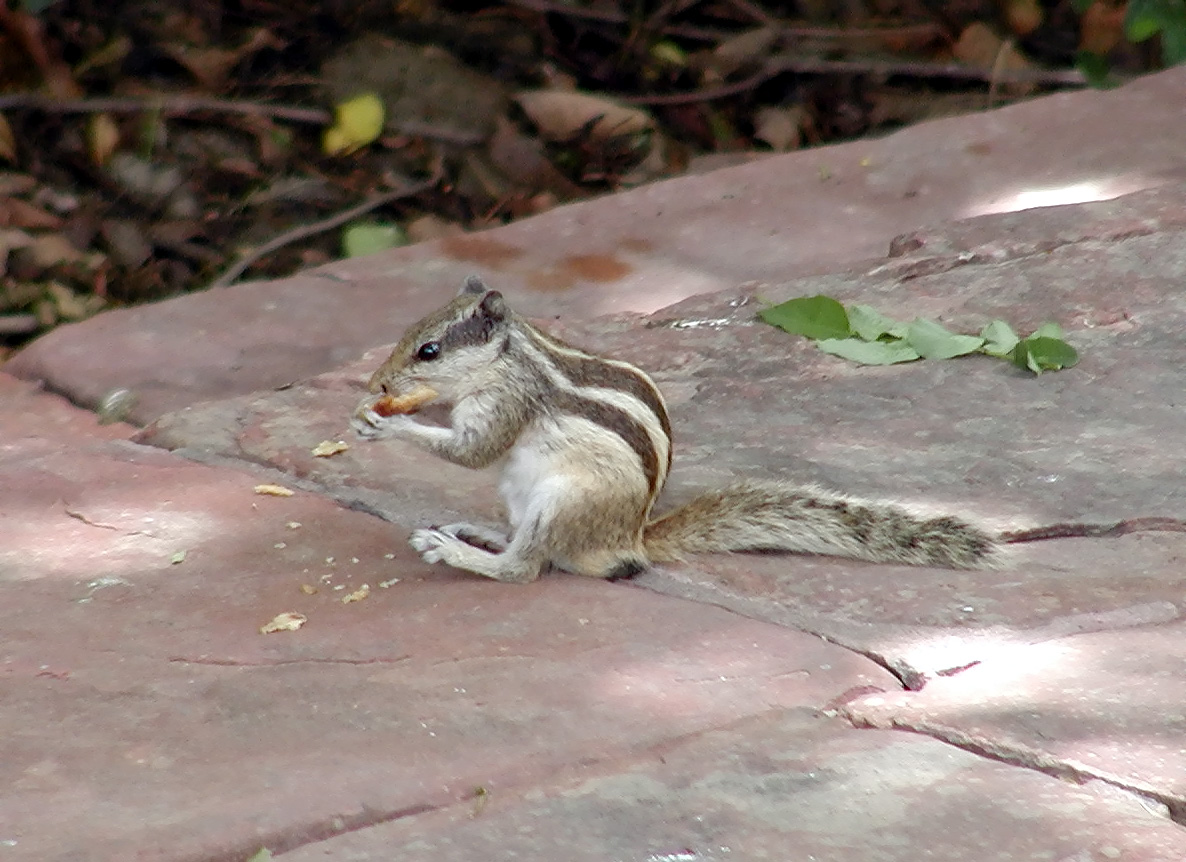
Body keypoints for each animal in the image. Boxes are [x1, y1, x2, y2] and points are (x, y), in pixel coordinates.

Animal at [351, 276, 998, 583]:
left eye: (429, 351)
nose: (378, 382)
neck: (509, 360)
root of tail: (631, 539)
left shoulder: (507, 405)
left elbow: (472, 451)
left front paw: (386, 425)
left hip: (563, 498)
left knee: (528, 566)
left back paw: (458, 551)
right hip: (520, 492)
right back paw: (478, 532)